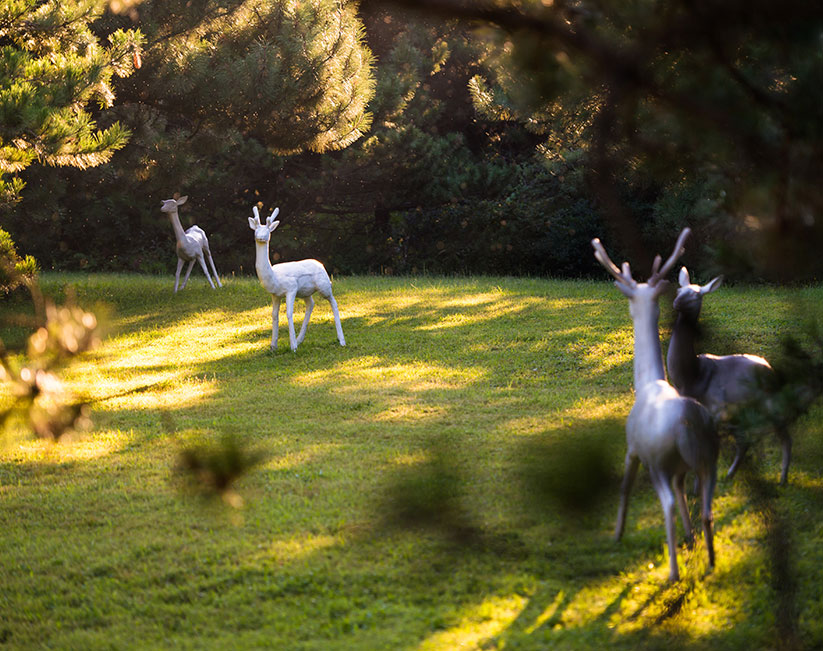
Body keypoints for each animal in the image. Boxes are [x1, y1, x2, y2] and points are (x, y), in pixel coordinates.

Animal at [248, 206, 344, 354]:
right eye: (256, 229)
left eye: (268, 231)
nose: (261, 237)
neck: (275, 277)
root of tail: (321, 265)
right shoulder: (275, 295)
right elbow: (274, 315)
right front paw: (273, 346)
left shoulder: (291, 288)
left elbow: (288, 313)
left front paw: (293, 347)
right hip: (305, 292)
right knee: (311, 304)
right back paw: (300, 339)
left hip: (324, 287)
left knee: (334, 302)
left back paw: (341, 340)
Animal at [592, 230, 720, 584]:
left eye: (630, 299)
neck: (647, 383)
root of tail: (688, 425)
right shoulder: (679, 470)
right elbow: (683, 495)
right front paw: (690, 538)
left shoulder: (633, 448)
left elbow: (624, 488)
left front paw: (617, 533)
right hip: (710, 460)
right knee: (706, 509)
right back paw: (711, 561)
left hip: (659, 460)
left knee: (667, 504)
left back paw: (673, 572)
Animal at [664, 264, 792, 484]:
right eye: (679, 289)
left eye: (696, 294)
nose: (676, 302)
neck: (691, 376)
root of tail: (770, 369)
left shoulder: (715, 410)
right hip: (742, 410)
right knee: (745, 440)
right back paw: (732, 474)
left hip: (767, 402)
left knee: (783, 432)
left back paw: (783, 479)